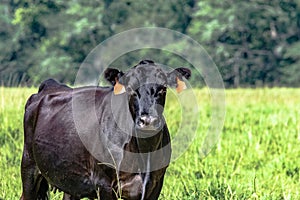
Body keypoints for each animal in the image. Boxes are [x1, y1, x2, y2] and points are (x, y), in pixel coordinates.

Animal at [20, 59, 190, 200]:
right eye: (130, 89)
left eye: (163, 89)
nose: (148, 121)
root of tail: (50, 84)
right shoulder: (105, 184)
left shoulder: (155, 184)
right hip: (29, 166)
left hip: (70, 180)